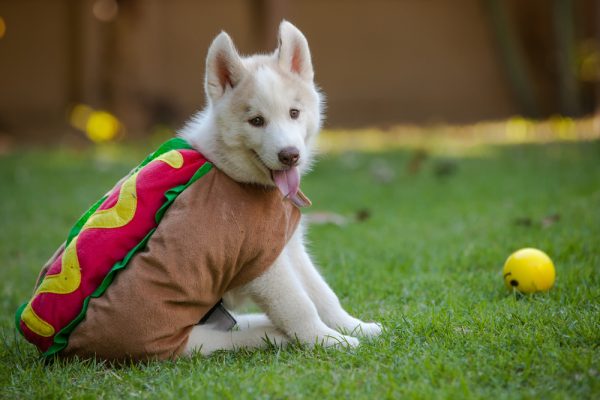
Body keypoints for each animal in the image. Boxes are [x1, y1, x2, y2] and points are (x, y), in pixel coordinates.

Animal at [180, 21, 382, 356]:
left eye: (294, 113)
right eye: (256, 121)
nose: (290, 155)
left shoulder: (289, 246)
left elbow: (321, 293)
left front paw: (354, 326)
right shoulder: (261, 264)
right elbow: (298, 305)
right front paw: (327, 340)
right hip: (194, 341)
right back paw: (273, 334)